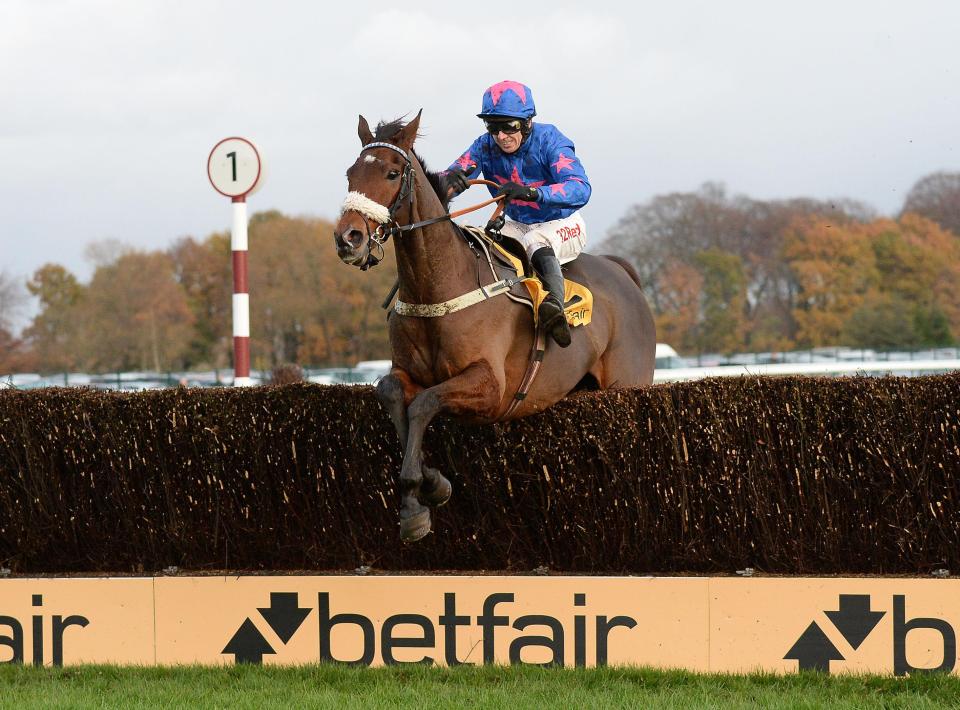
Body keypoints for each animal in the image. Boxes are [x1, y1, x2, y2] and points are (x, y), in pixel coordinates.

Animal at [334, 111, 656, 544]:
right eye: (351, 173)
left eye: (391, 172)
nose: (348, 238)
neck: (442, 285)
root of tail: (622, 271)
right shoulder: (406, 371)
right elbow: (391, 393)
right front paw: (425, 489)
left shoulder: (491, 387)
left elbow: (424, 404)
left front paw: (423, 492)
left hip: (628, 381)